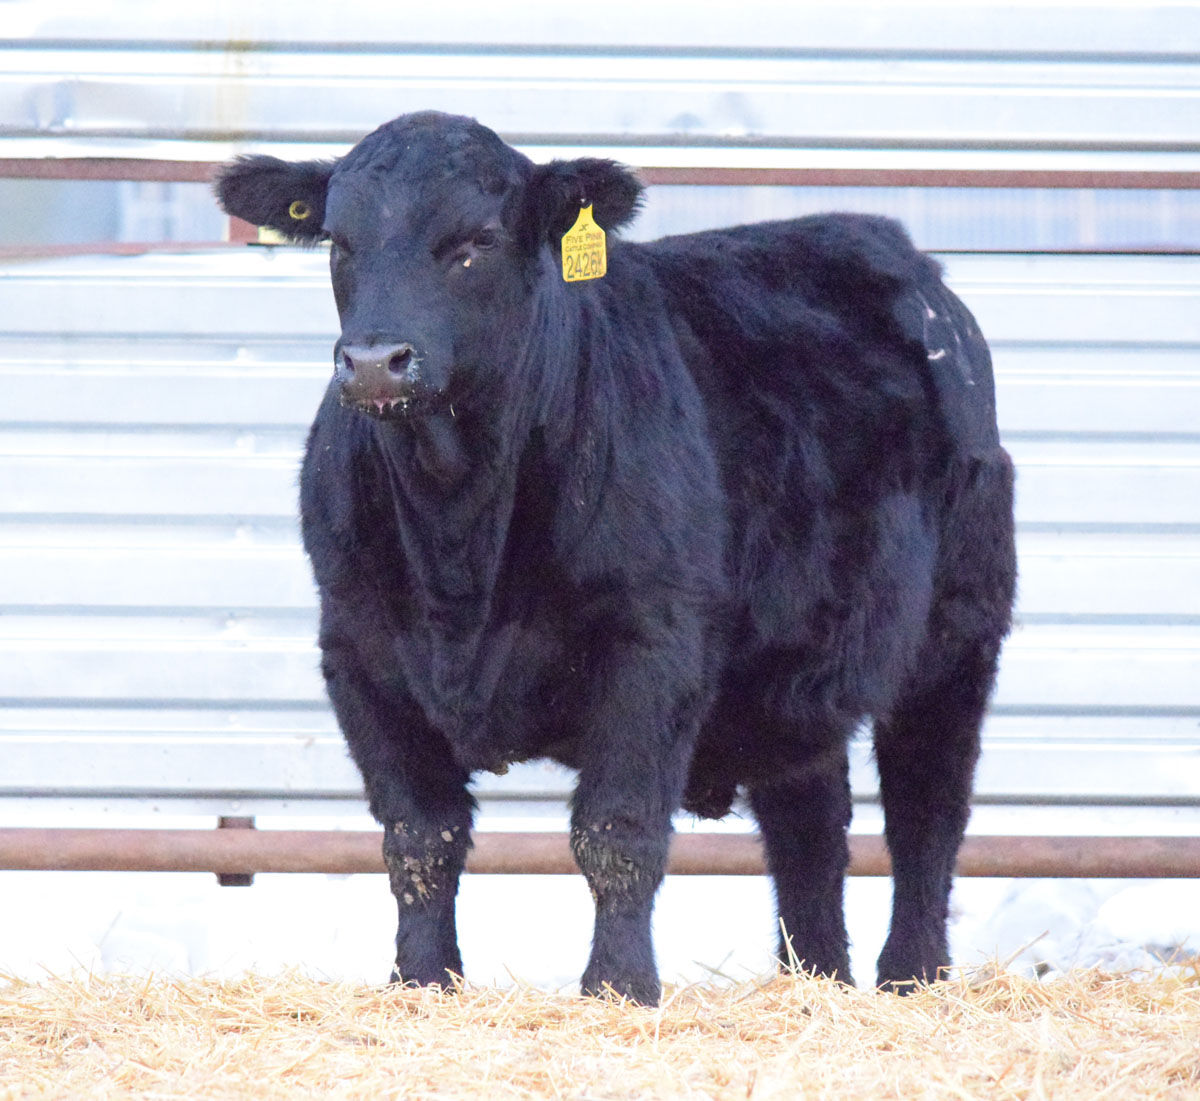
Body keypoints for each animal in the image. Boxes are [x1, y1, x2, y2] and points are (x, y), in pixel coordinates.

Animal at [216, 111, 1016, 1006]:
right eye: (338, 239)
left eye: (478, 239)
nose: (373, 361)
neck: (457, 528)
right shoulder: (359, 654)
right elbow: (420, 837)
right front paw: (421, 980)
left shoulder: (652, 646)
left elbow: (616, 831)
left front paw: (619, 986)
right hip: (793, 674)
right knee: (811, 824)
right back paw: (814, 979)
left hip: (958, 633)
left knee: (927, 809)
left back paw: (914, 973)